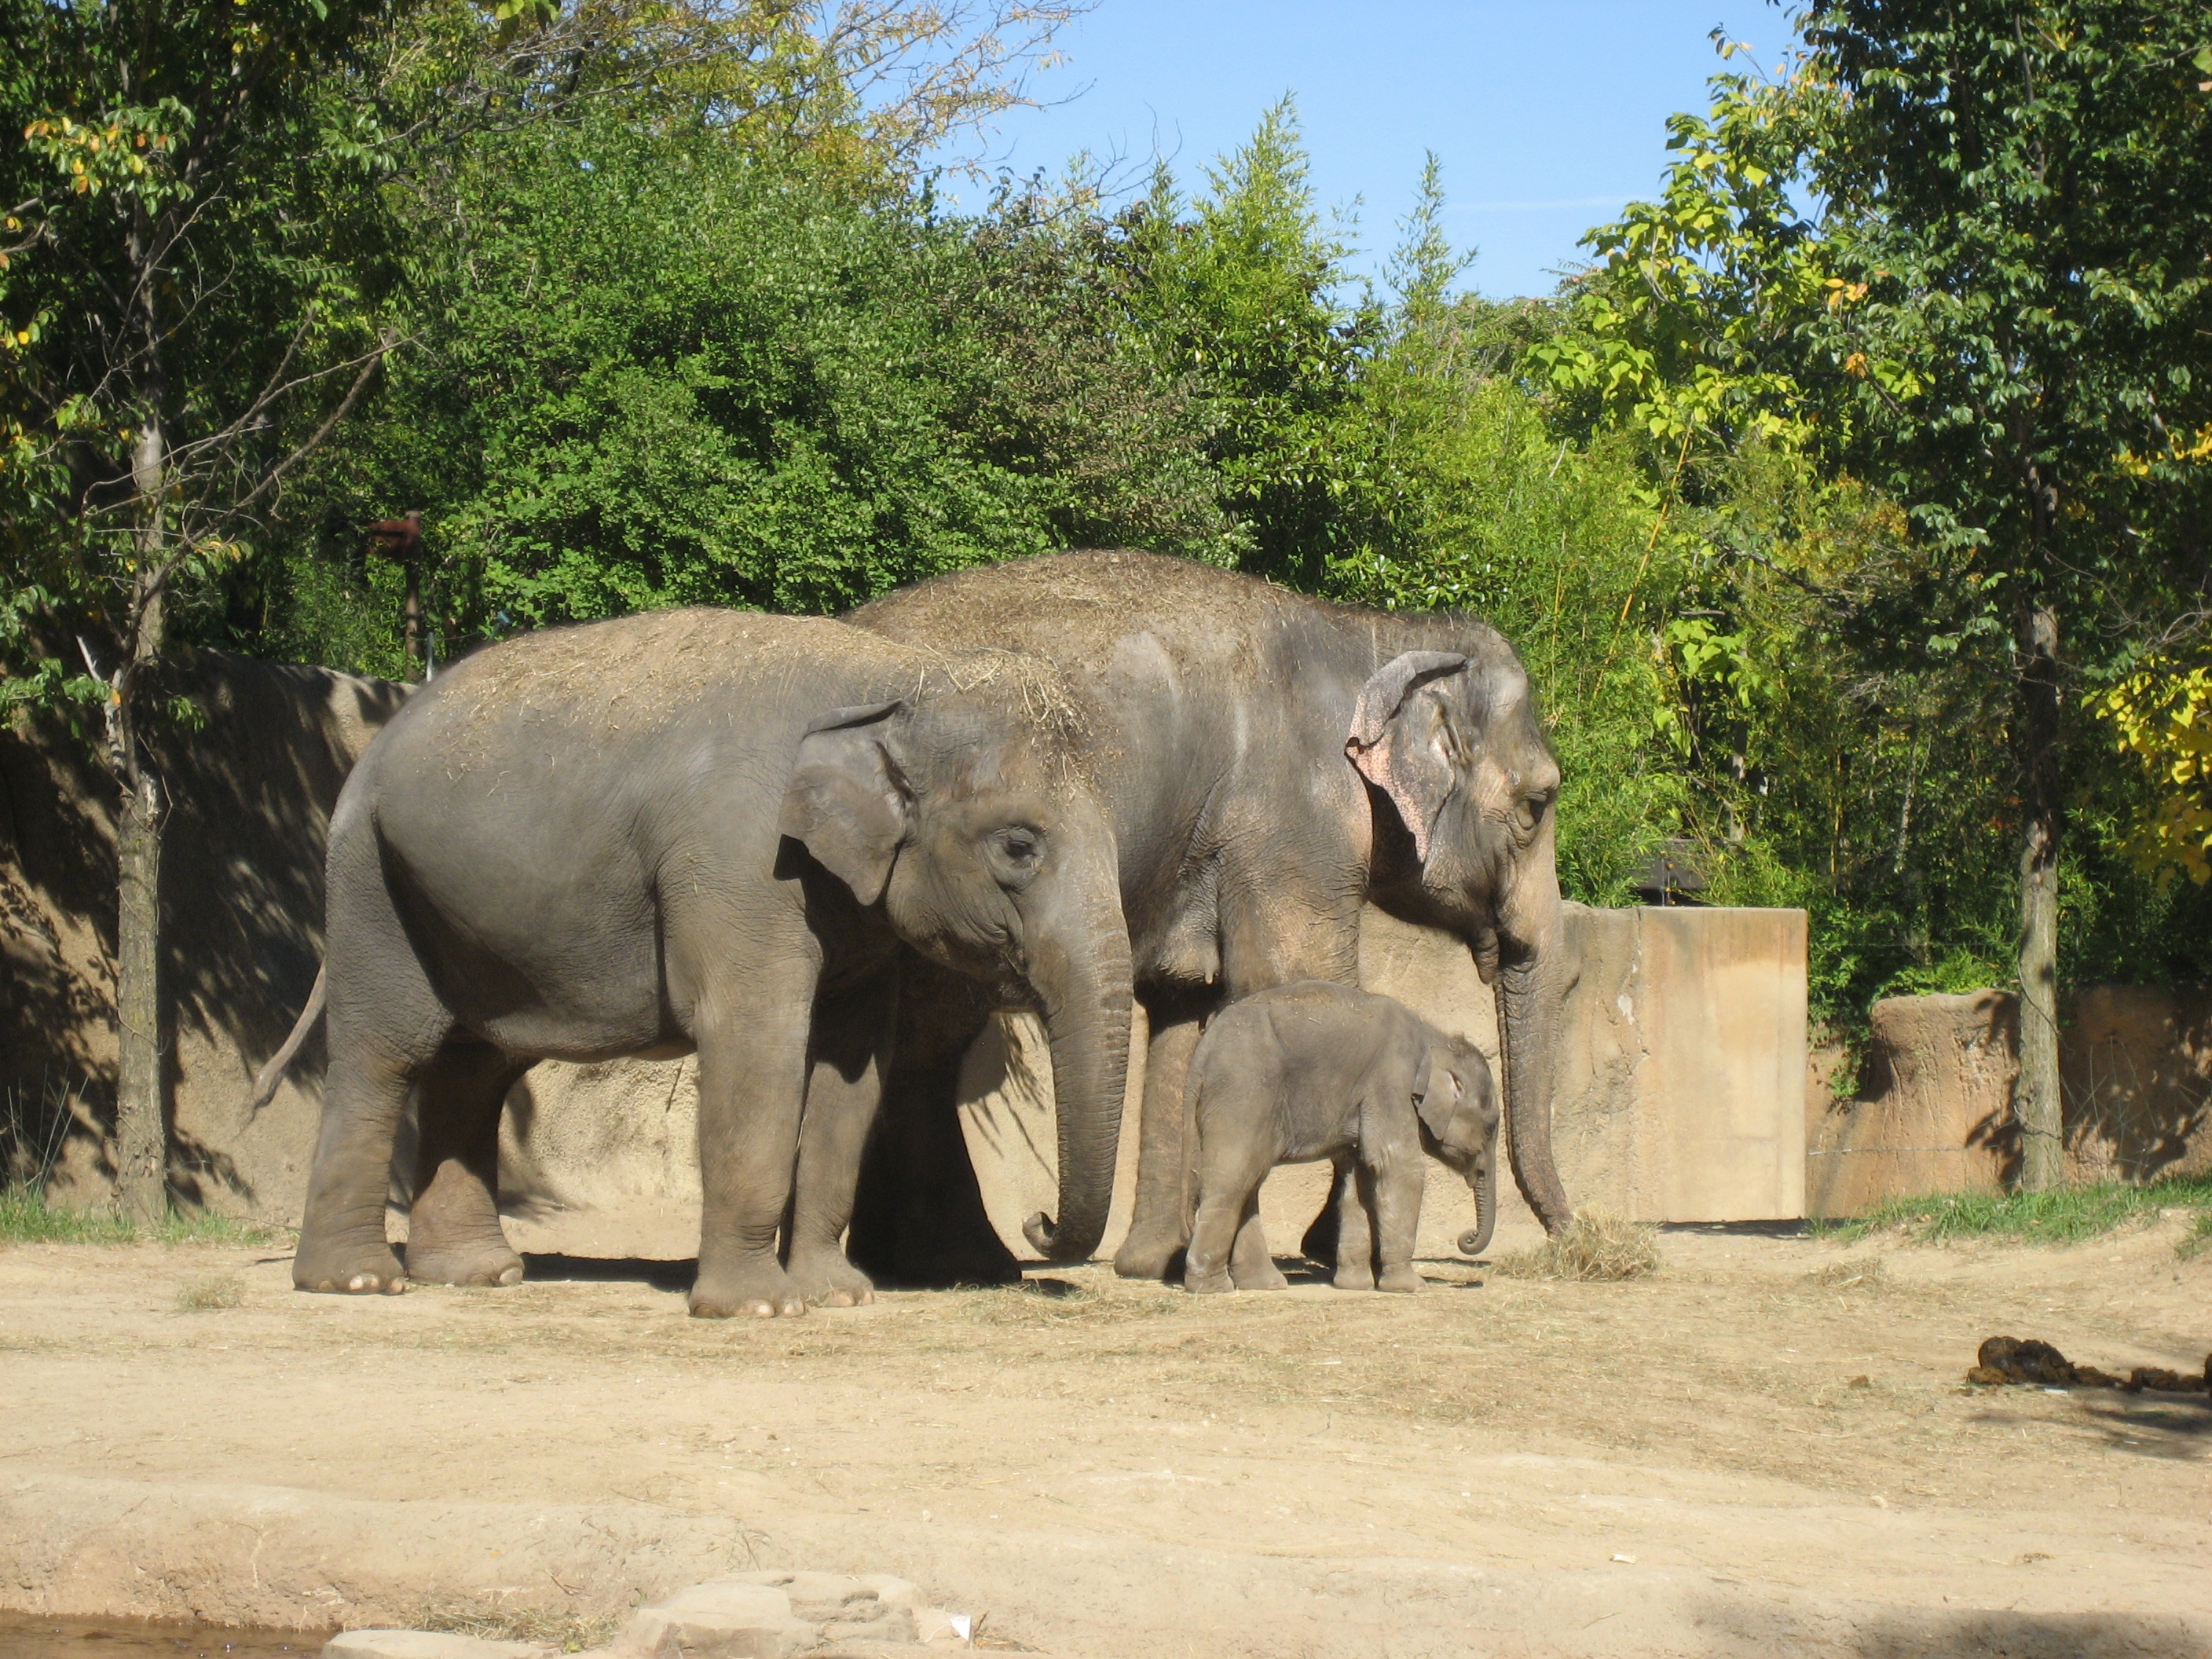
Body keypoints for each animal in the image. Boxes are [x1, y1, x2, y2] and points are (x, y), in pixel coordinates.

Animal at [283, 610, 1132, 1327]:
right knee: (385, 1054)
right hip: (371, 883)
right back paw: (358, 1281)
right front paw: (758, 1307)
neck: (900, 678)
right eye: (1018, 847)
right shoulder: (739, 859)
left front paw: (838, 1295)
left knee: (474, 1066)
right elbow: (757, 1047)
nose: (1037, 1220)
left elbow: (852, 1070)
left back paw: (477, 1274)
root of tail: (373, 748)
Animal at [1177, 986, 1503, 1300]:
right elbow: (1399, 1167)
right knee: (1234, 1178)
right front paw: (1411, 1287)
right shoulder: (1391, 1082)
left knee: (1249, 1179)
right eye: (1489, 1129)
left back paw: (1264, 1284)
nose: (1466, 1237)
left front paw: (1355, 1286)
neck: (1436, 1038)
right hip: (1243, 1092)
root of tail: (1201, 1054)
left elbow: (1357, 1177)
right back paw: (1212, 1287)